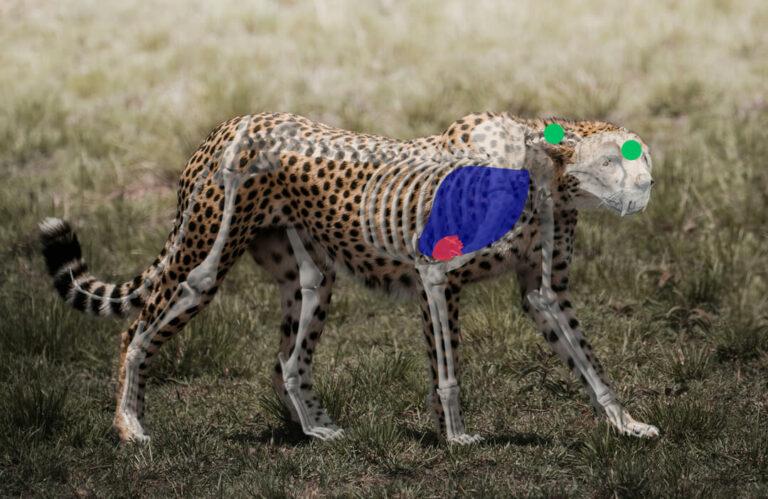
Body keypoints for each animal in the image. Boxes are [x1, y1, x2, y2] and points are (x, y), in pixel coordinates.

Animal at [39, 111, 658, 444]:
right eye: (613, 159)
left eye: (642, 157)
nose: (648, 185)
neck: (541, 172)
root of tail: (236, 120)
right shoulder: (436, 276)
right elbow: (448, 371)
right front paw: (456, 437)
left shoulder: (542, 291)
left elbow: (588, 361)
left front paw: (626, 424)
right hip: (204, 252)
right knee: (139, 327)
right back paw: (130, 427)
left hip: (310, 277)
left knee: (288, 359)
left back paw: (315, 430)